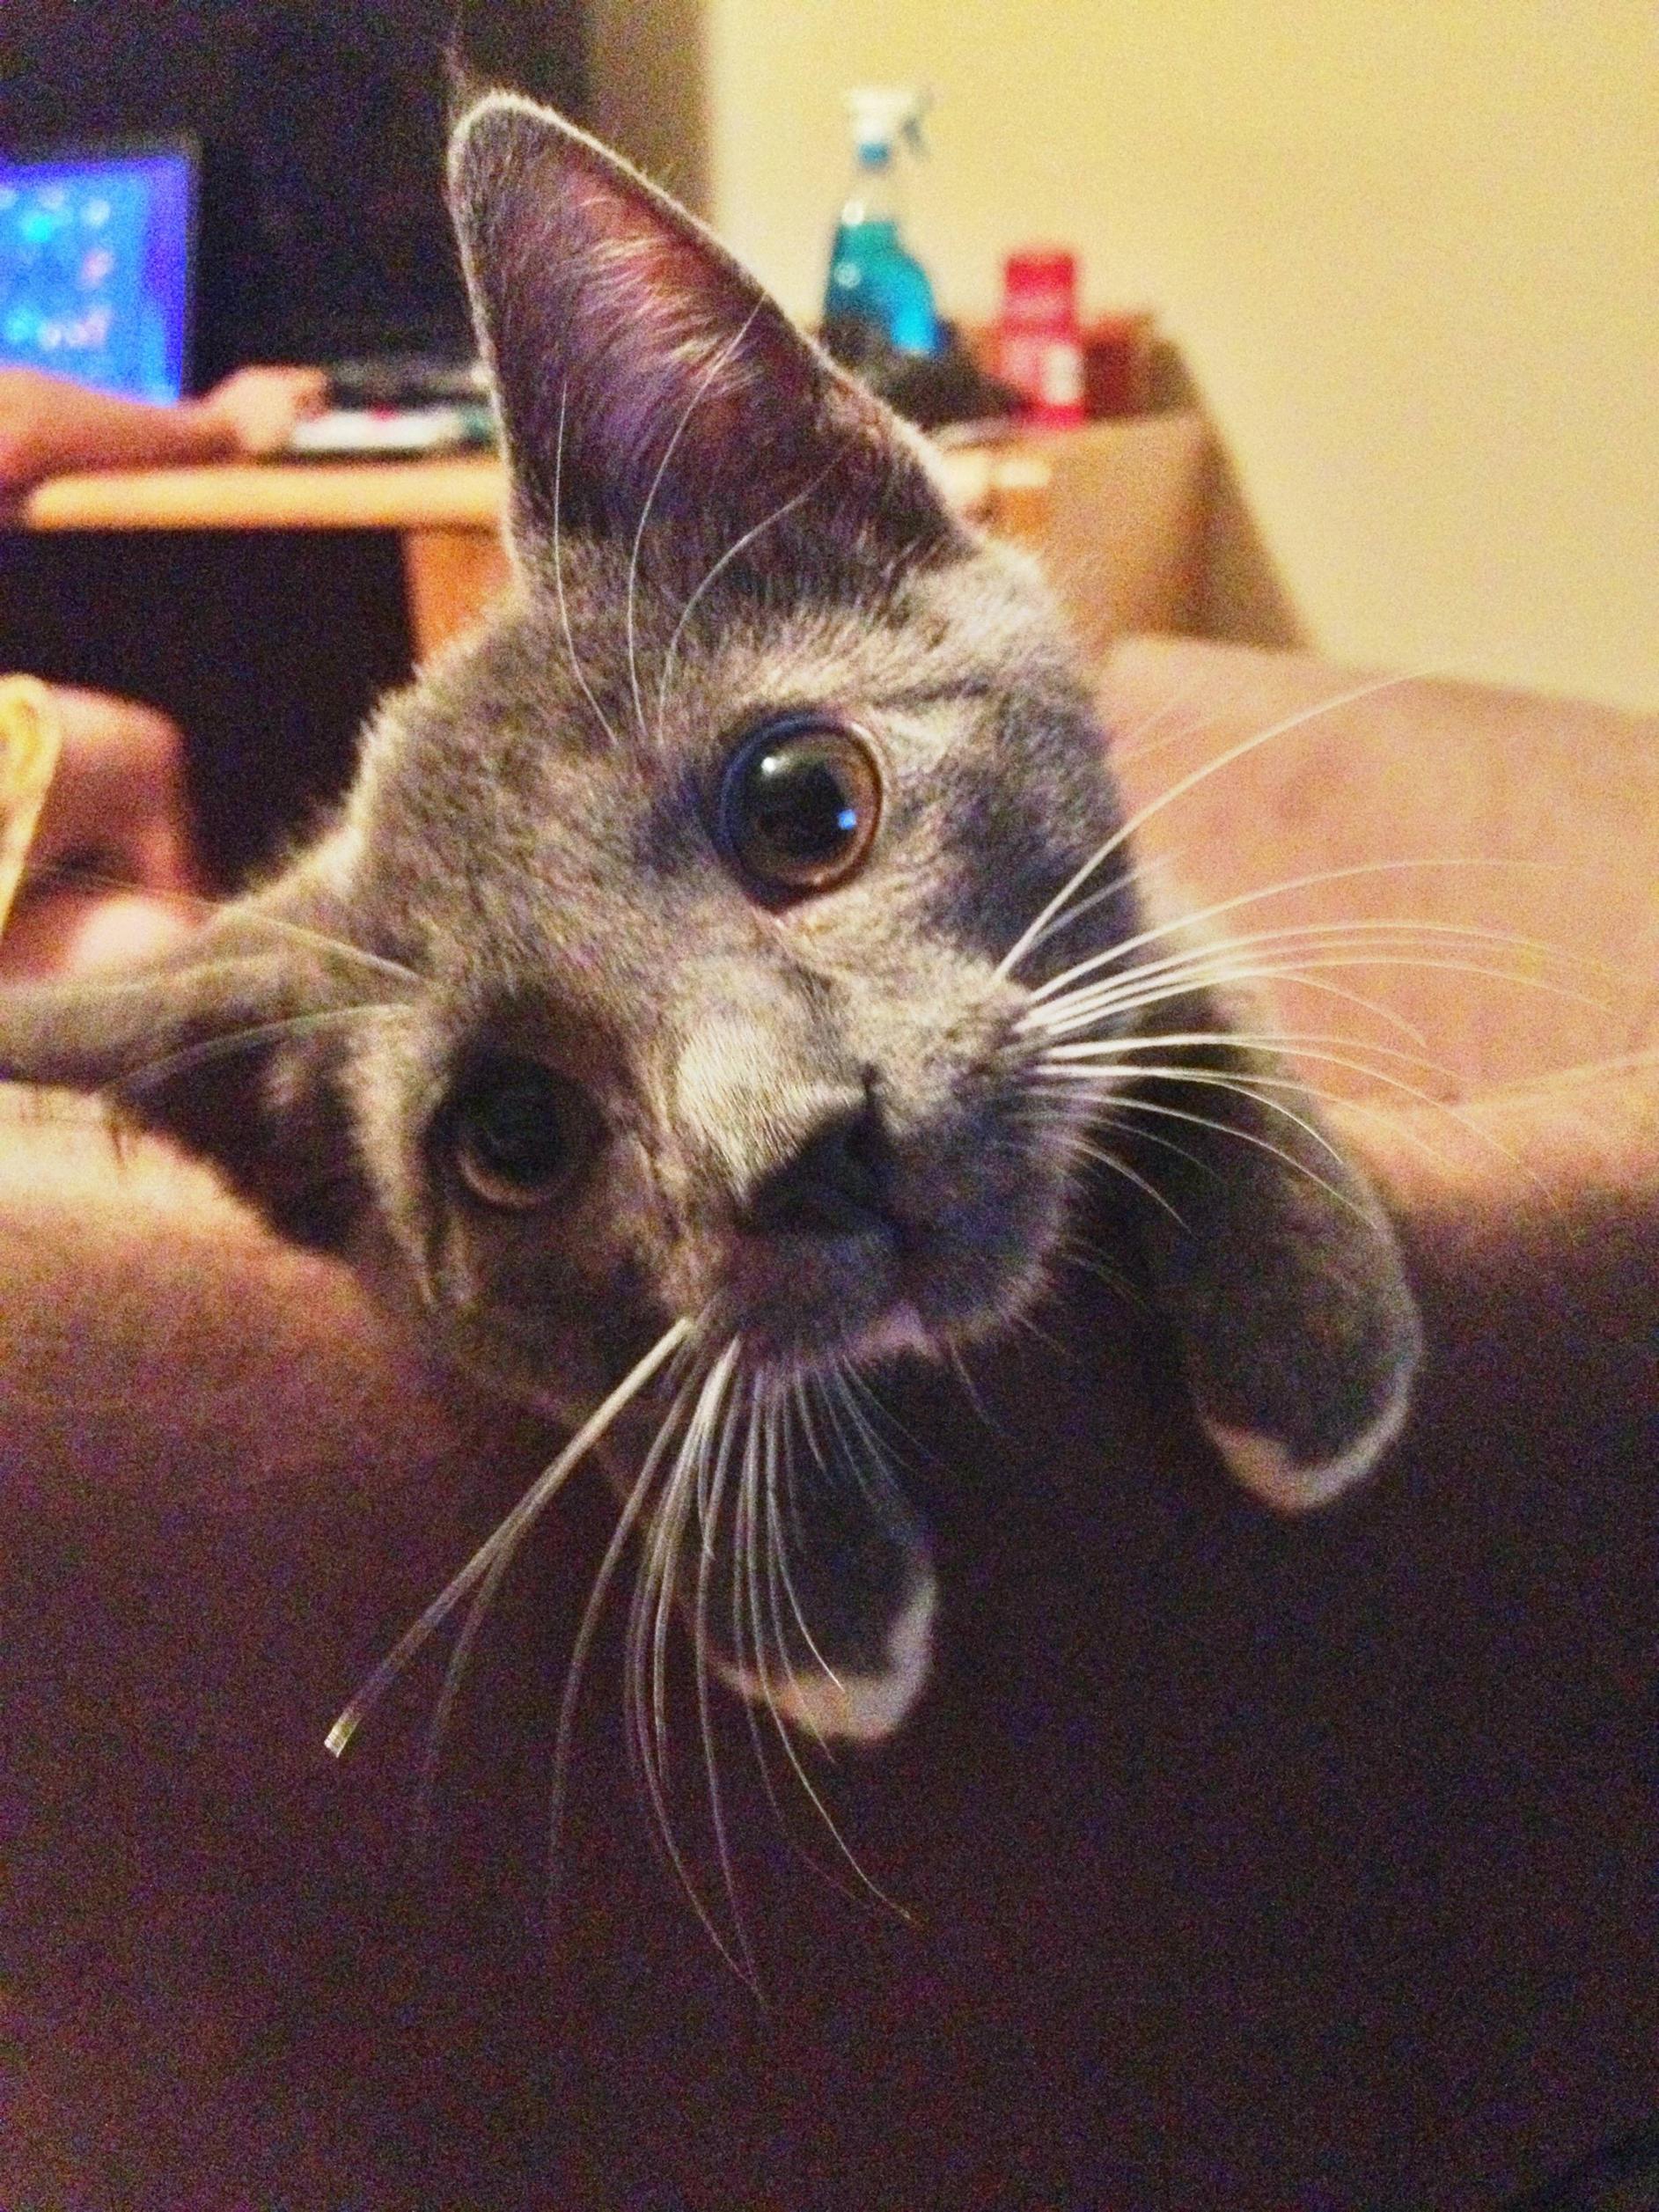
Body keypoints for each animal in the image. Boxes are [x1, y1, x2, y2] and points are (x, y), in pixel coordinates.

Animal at [0, 93, 1421, 1766]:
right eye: (513, 1137)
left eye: (806, 805)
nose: (807, 1146)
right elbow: (600, 1364)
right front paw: (817, 1601)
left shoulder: (1151, 910)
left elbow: (1183, 989)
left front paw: (1313, 1354)